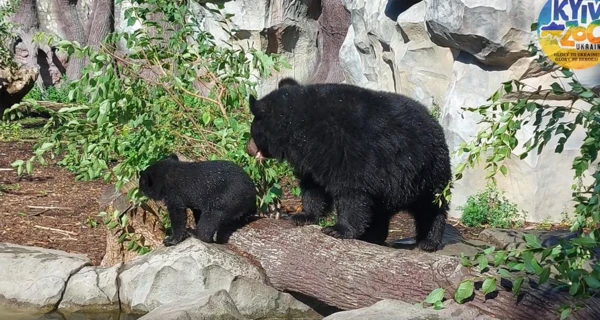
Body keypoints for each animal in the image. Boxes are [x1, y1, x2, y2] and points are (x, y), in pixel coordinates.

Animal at [247, 78, 450, 252]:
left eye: (252, 130)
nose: (248, 148)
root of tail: (434, 121)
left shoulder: (348, 150)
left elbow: (351, 191)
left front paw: (337, 229)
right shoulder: (315, 160)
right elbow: (314, 188)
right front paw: (302, 215)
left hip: (426, 171)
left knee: (430, 207)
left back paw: (428, 241)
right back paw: (373, 236)